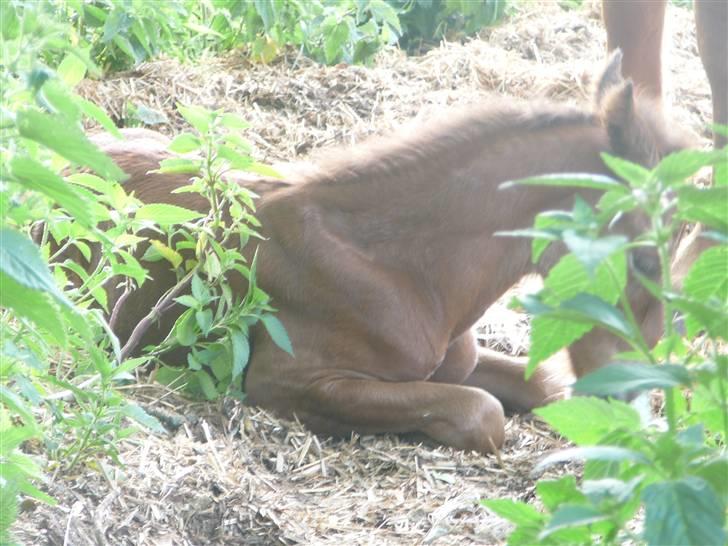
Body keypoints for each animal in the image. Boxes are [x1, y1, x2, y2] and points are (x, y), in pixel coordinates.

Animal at [88, 52, 692, 450]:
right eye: (643, 259)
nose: (633, 405)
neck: (401, 269)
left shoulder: (455, 360)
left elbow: (542, 382)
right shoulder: (289, 380)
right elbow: (484, 414)